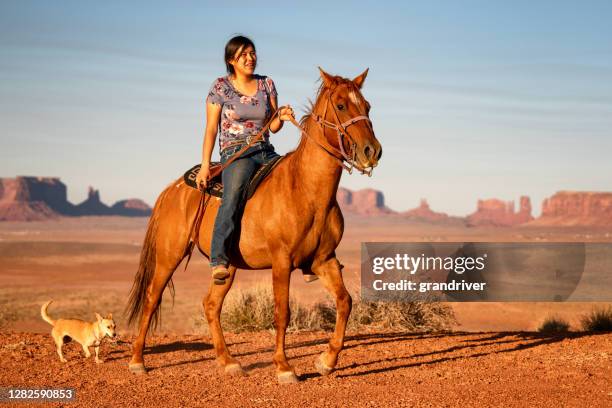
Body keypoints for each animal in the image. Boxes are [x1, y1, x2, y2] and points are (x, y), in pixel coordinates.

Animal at [125, 67, 382, 382]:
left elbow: (345, 302)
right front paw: (284, 367)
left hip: (227, 265)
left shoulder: (325, 260)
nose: (372, 151)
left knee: (211, 305)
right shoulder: (282, 261)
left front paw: (327, 360)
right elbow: (282, 312)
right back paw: (137, 361)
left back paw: (228, 362)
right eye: (342, 105)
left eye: (367, 106)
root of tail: (172, 189)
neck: (305, 188)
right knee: (152, 298)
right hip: (168, 256)